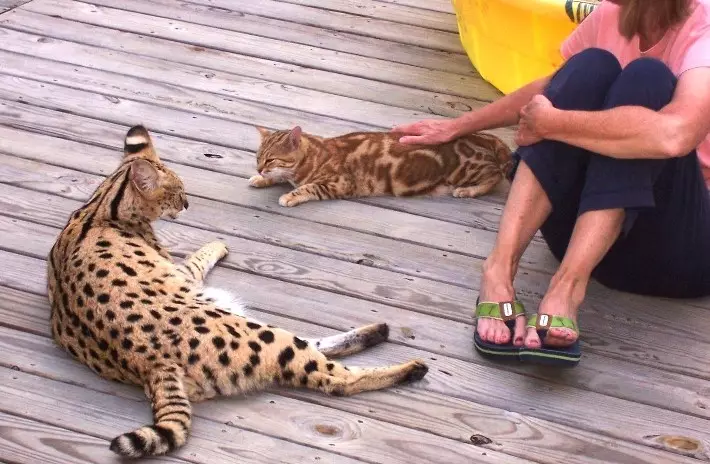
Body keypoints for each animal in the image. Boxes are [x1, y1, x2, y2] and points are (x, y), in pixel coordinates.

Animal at [50, 125, 432, 458]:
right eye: (176, 192)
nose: (186, 204)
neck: (103, 202)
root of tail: (151, 365)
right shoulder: (181, 273)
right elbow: (198, 257)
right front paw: (217, 243)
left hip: (245, 326)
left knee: (312, 349)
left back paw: (376, 332)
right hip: (255, 332)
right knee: (333, 377)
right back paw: (409, 367)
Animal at [249, 126, 512, 208]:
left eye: (271, 159)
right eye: (258, 158)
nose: (260, 168)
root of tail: (485, 136)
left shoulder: (339, 183)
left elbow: (308, 188)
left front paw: (289, 195)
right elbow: (280, 178)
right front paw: (260, 178)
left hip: (465, 170)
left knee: (496, 175)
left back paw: (469, 190)